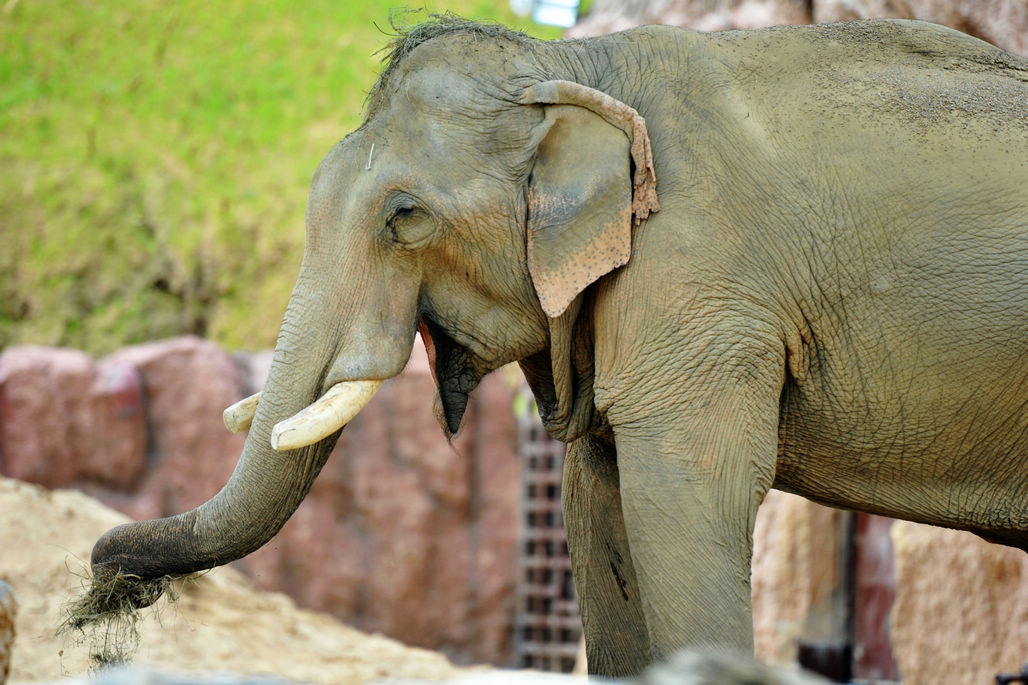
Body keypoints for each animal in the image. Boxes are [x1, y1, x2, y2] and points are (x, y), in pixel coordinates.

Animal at [90, 14, 1028, 670]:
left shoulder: (702, 281)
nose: (105, 583)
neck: (571, 68)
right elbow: (597, 499)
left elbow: (685, 492)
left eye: (405, 217)